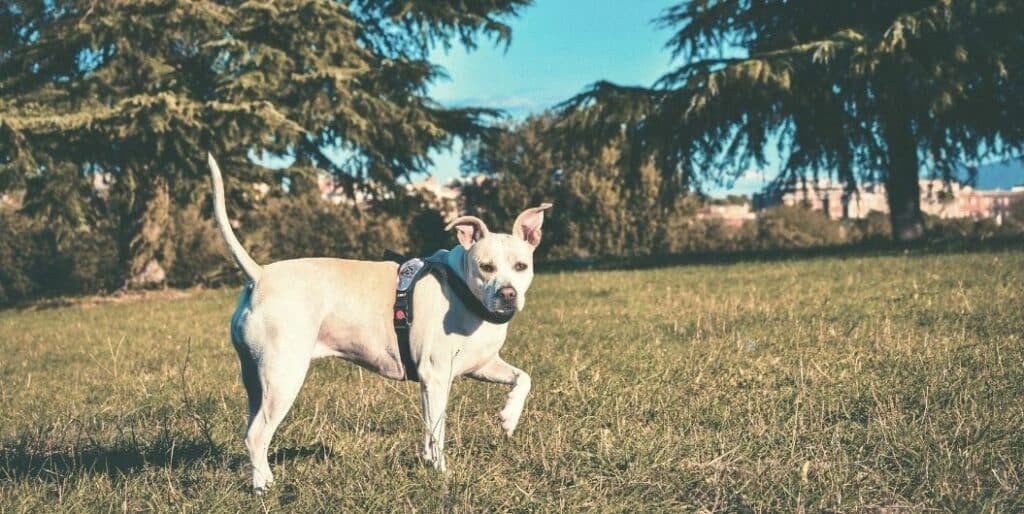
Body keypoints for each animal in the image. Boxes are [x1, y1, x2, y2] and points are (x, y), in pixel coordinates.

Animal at [207, 154, 552, 491]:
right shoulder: (436, 376)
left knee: (252, 429)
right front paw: (441, 473)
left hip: (256, 380)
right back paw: (264, 488)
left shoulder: (479, 366)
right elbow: (437, 432)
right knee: (256, 436)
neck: (462, 287)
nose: (507, 294)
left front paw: (509, 417)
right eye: (486, 267)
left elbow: (523, 378)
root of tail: (260, 275)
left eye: (521, 266)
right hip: (283, 377)